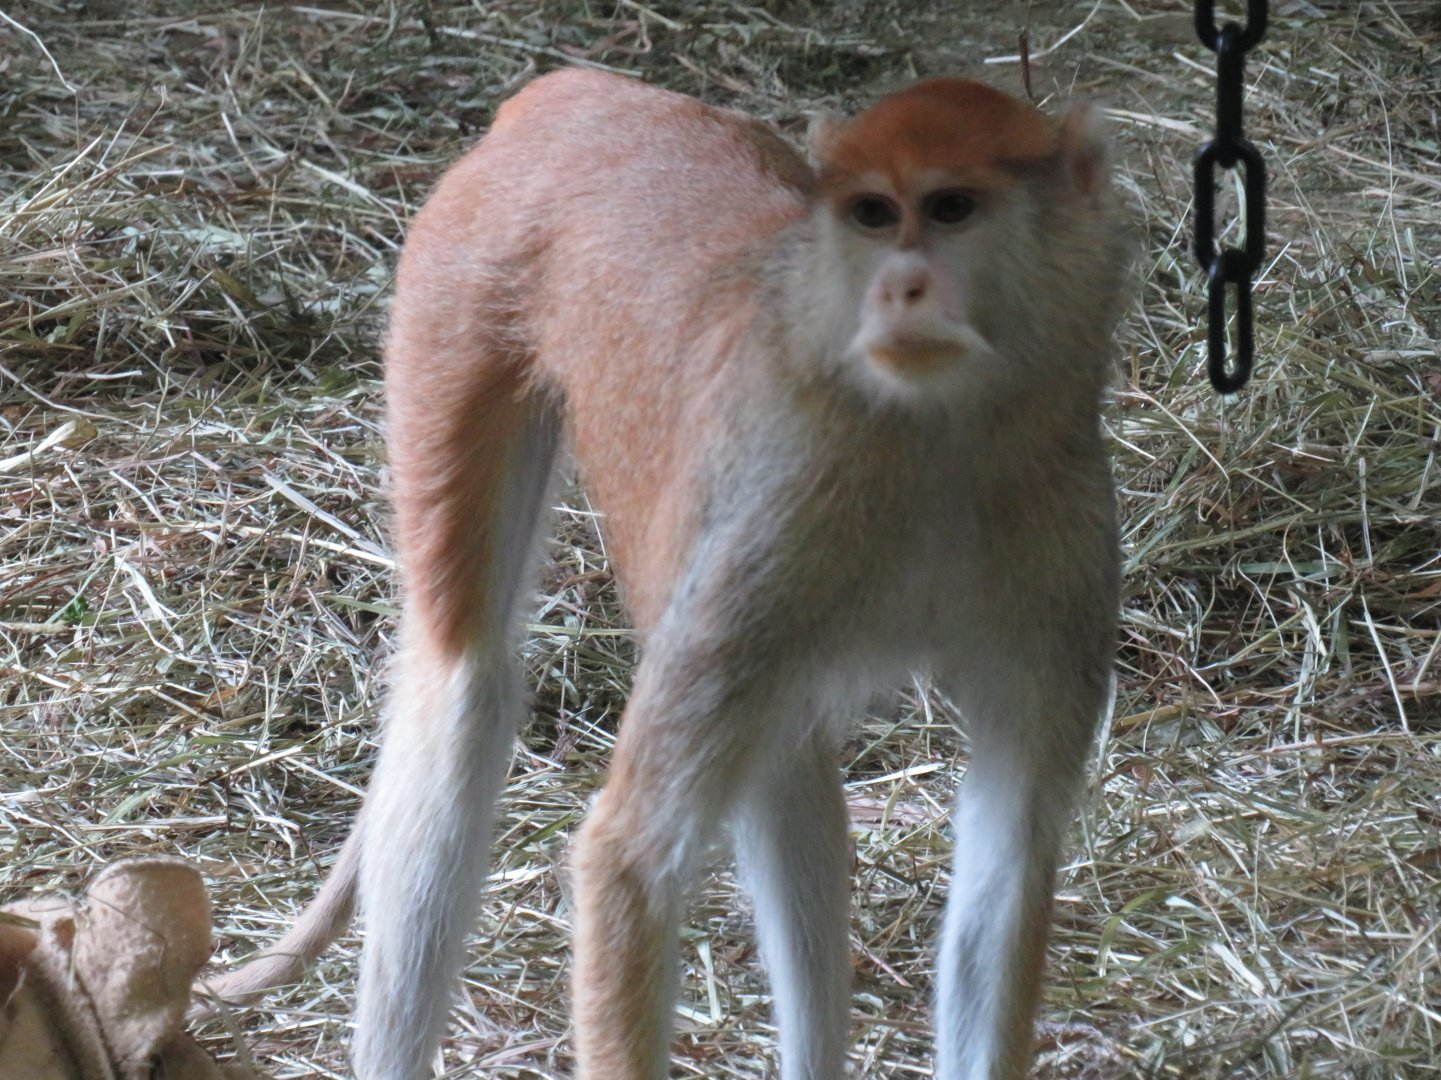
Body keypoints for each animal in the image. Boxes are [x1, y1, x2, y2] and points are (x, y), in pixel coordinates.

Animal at [198, 68, 1131, 1080]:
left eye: (953, 209)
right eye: (873, 215)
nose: (901, 288)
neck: (934, 439)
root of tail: (578, 92)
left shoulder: (1059, 572)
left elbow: (1006, 863)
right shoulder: (772, 537)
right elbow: (629, 861)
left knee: (783, 768)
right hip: (455, 295)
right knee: (466, 682)